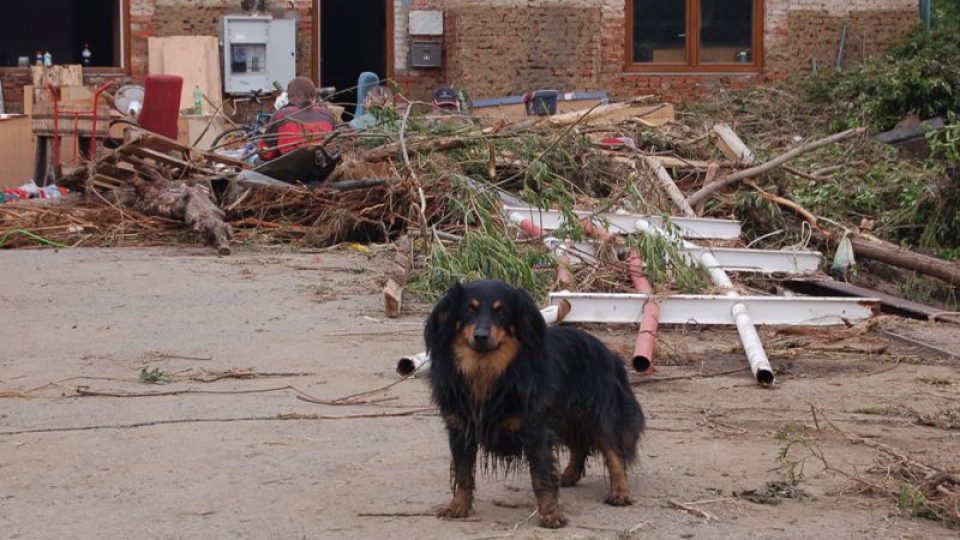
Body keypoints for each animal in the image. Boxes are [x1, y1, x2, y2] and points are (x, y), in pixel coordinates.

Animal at [426, 278, 644, 528]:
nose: (481, 336)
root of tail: (609, 353)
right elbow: (463, 473)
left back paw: (620, 492)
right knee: (579, 445)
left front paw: (550, 514)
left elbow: (541, 475)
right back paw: (568, 476)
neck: (486, 370)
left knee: (614, 452)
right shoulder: (460, 429)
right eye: (468, 310)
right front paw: (458, 506)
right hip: (565, 416)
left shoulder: (535, 429)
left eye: (502, 312)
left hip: (596, 412)